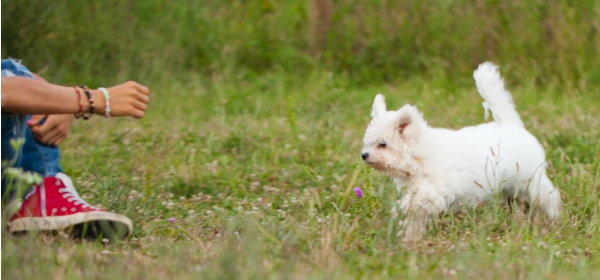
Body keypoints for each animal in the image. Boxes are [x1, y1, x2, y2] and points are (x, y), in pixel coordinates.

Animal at [360, 61, 564, 241]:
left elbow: (415, 202)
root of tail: (510, 125)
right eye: (368, 144)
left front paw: (400, 210)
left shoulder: (439, 188)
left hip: (530, 179)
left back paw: (553, 213)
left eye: (382, 144)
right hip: (510, 186)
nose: (364, 155)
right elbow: (413, 218)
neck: (420, 156)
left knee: (546, 195)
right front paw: (408, 237)